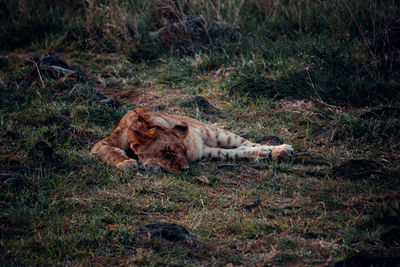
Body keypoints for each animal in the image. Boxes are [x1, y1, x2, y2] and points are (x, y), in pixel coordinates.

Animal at [90, 108, 294, 173]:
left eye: (184, 150)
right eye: (168, 151)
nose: (186, 169)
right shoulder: (100, 145)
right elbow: (110, 152)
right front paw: (127, 163)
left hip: (214, 133)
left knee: (247, 144)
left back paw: (279, 150)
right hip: (210, 150)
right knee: (235, 153)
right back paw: (263, 154)